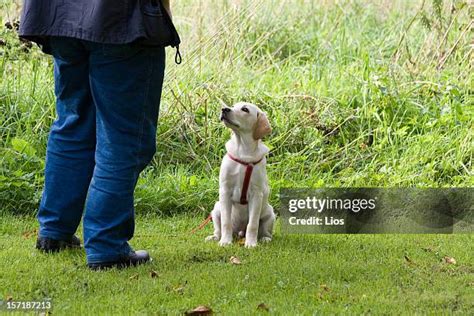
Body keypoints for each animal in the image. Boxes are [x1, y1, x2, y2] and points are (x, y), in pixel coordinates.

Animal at [206, 102, 276, 248]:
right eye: (233, 105)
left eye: (245, 109)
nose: (224, 109)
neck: (243, 150)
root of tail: (239, 232)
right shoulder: (225, 191)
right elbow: (226, 222)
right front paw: (225, 242)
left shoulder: (257, 194)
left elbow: (253, 224)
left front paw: (251, 243)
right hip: (216, 209)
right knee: (218, 229)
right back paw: (215, 237)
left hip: (270, 213)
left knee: (265, 230)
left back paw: (264, 238)